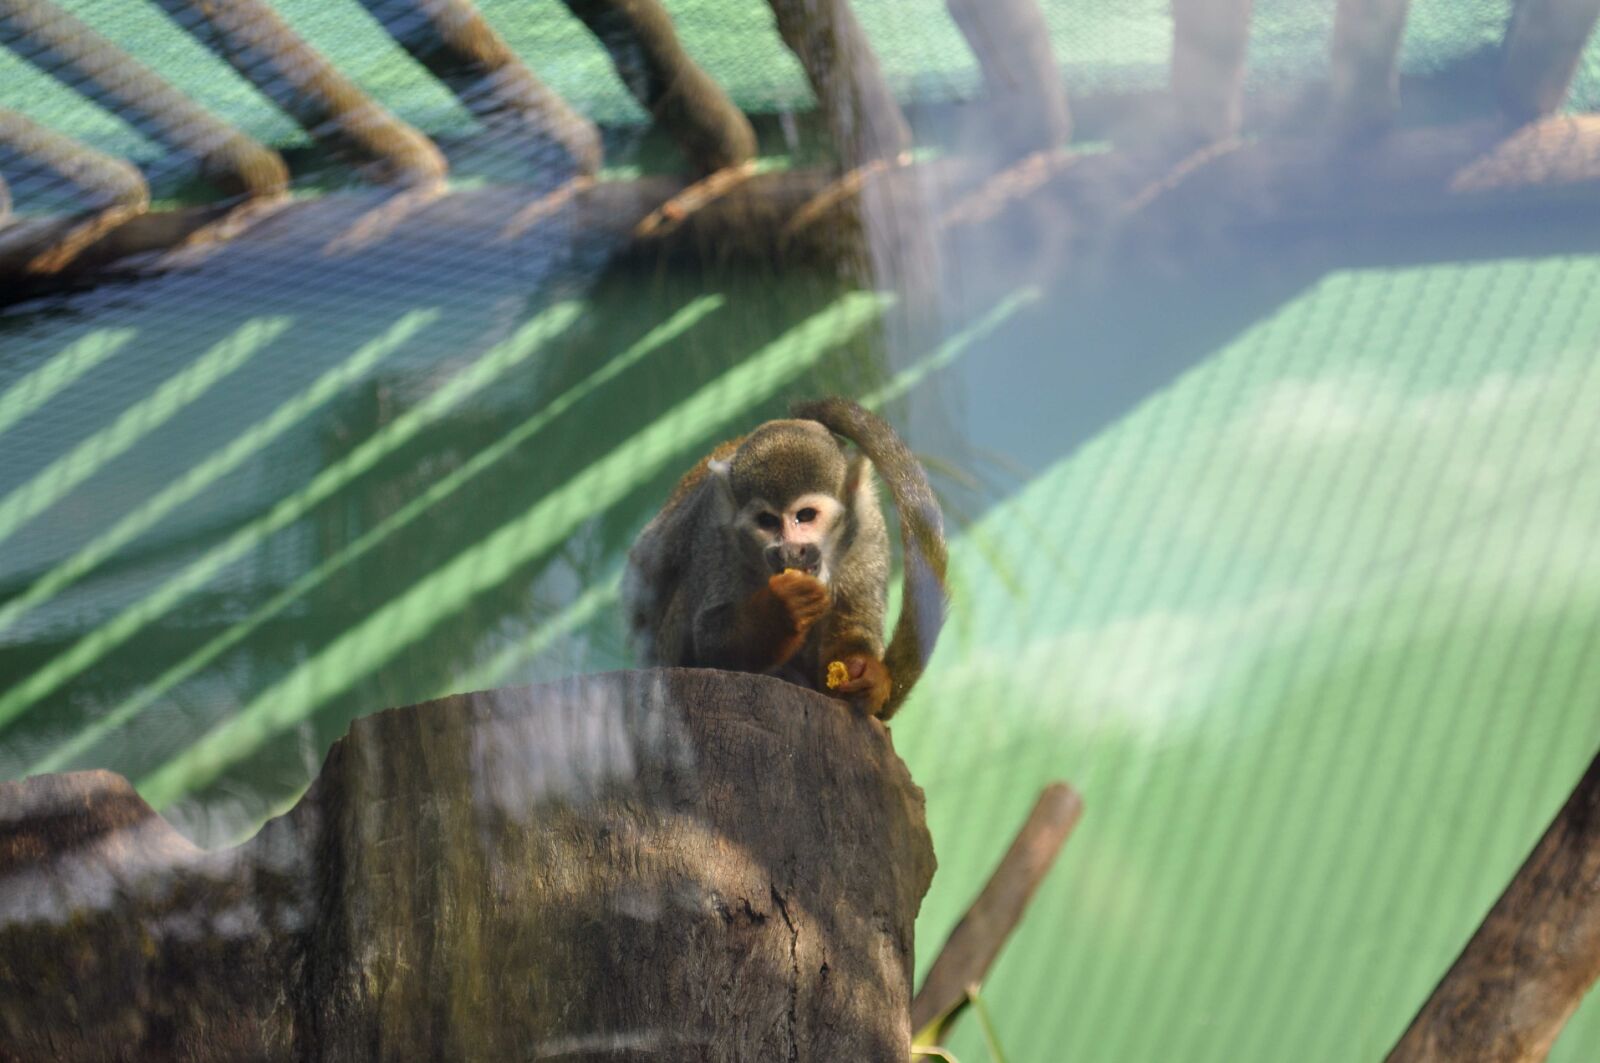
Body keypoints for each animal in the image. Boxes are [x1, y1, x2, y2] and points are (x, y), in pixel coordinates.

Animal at [623, 396, 947, 719]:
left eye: (805, 516)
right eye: (767, 521)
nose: (790, 550)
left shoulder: (866, 521)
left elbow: (855, 618)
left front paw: (868, 674)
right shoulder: (716, 532)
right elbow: (709, 636)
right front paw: (780, 610)